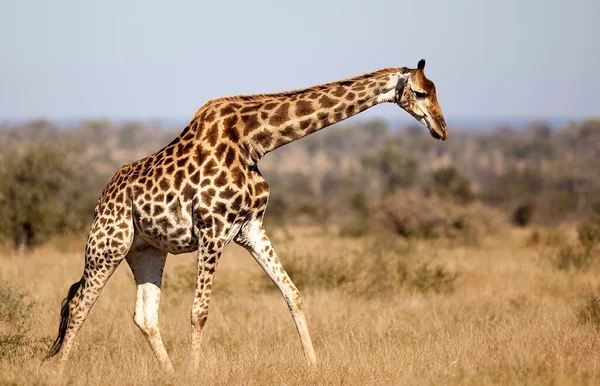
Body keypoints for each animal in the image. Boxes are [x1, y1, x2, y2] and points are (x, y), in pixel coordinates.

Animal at [47, 58, 448, 372]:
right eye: (420, 93)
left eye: (434, 89)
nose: (442, 129)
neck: (256, 142)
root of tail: (100, 200)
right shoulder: (212, 229)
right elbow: (199, 311)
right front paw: (195, 374)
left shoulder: (251, 228)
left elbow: (293, 294)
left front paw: (314, 366)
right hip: (108, 244)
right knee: (80, 304)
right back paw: (62, 372)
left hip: (146, 250)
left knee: (144, 316)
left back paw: (169, 374)